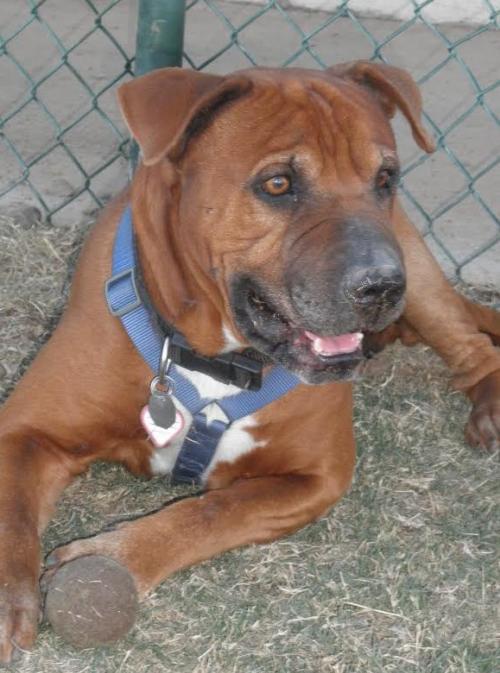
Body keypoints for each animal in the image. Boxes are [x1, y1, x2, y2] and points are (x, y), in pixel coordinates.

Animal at [0, 61, 500, 660]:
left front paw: (117, 555)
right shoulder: (25, 430)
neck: (216, 358)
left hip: (419, 270)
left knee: (474, 349)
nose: (381, 286)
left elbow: (214, 510)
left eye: (385, 179)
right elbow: (11, 518)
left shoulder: (319, 475)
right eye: (278, 184)